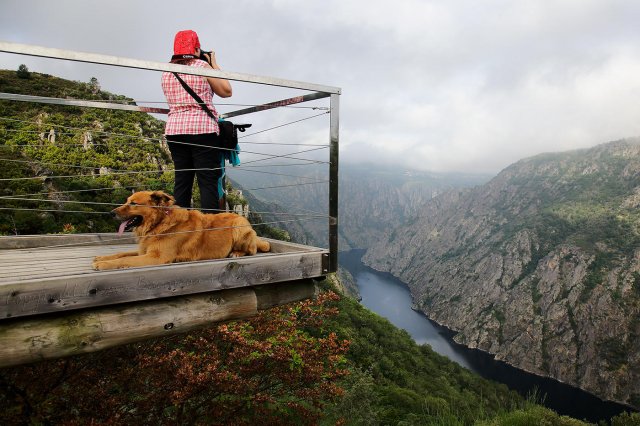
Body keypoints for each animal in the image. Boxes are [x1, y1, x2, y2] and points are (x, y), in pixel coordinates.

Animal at [92, 192, 270, 272]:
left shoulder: (156, 257)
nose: (111, 213)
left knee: (252, 250)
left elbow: (125, 260)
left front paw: (103, 264)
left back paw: (237, 253)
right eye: (127, 201)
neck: (160, 223)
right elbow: (122, 254)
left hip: (239, 226)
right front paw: (103, 257)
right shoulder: (145, 252)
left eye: (134, 203)